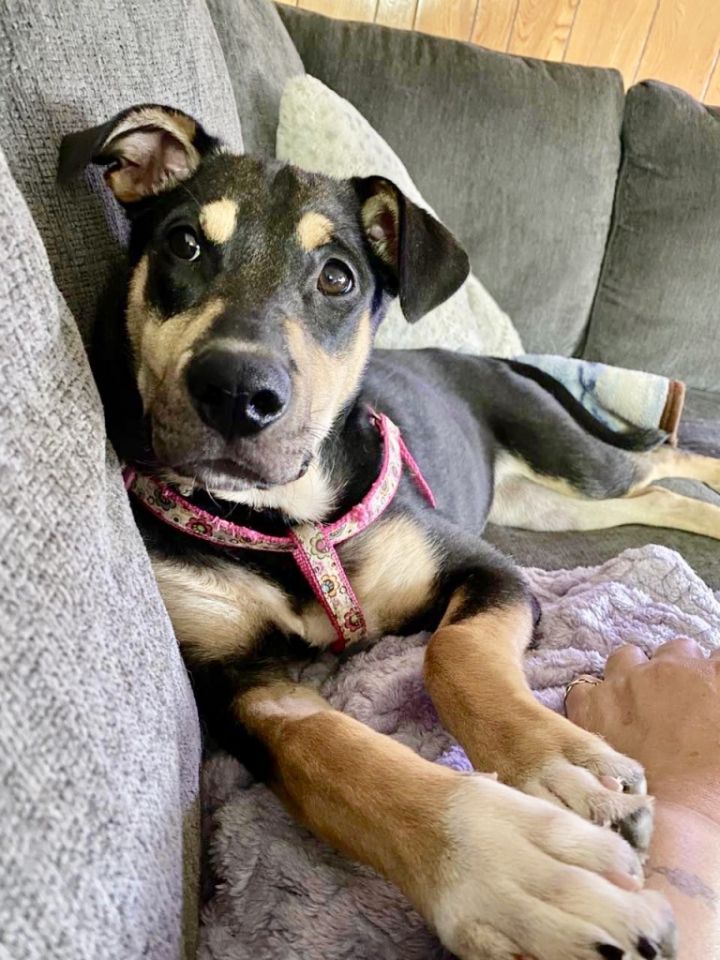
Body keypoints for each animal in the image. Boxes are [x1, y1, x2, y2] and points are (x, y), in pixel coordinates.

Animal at [60, 105, 720, 960]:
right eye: (184, 244)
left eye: (337, 278)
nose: (236, 393)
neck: (289, 521)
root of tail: (485, 359)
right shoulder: (229, 679)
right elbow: (328, 751)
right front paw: (502, 863)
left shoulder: (487, 569)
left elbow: (454, 652)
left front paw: (562, 763)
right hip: (556, 504)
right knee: (656, 490)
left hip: (572, 464)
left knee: (662, 458)